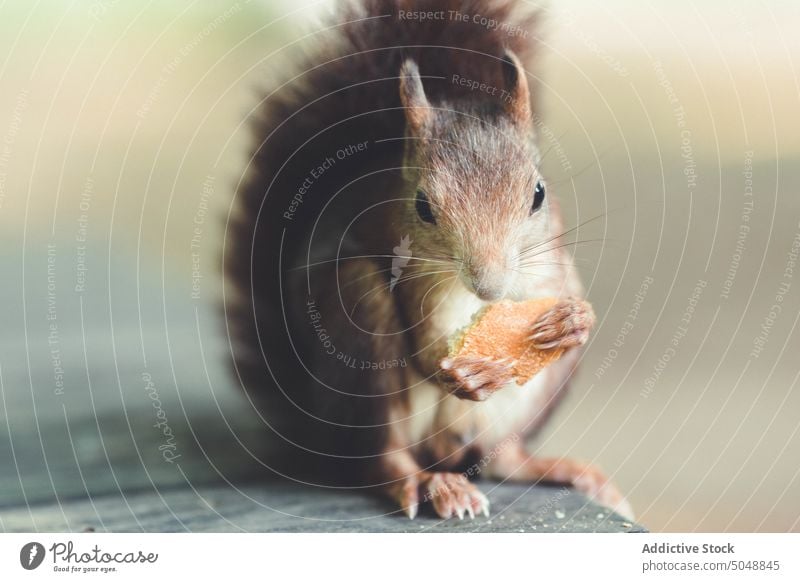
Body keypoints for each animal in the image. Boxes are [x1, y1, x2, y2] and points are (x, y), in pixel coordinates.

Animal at [225, 0, 632, 524]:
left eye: (539, 194)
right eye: (422, 206)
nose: (491, 287)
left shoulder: (546, 264)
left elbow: (564, 298)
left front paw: (574, 320)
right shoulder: (419, 278)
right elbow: (425, 348)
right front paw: (461, 372)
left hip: (531, 401)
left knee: (504, 459)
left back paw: (564, 470)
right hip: (360, 324)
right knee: (384, 455)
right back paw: (431, 483)